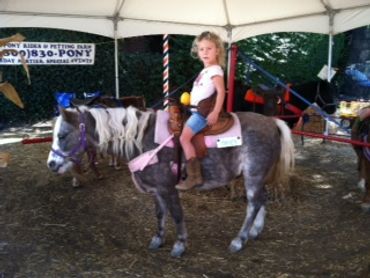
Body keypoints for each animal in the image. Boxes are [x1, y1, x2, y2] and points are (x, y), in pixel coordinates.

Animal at [47, 105, 294, 258]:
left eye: (61, 135)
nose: (51, 163)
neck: (143, 139)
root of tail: (273, 122)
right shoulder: (157, 190)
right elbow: (160, 213)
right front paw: (158, 239)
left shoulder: (168, 187)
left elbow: (176, 214)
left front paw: (179, 245)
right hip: (259, 177)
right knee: (262, 199)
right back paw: (255, 231)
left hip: (253, 175)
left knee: (253, 203)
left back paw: (239, 239)